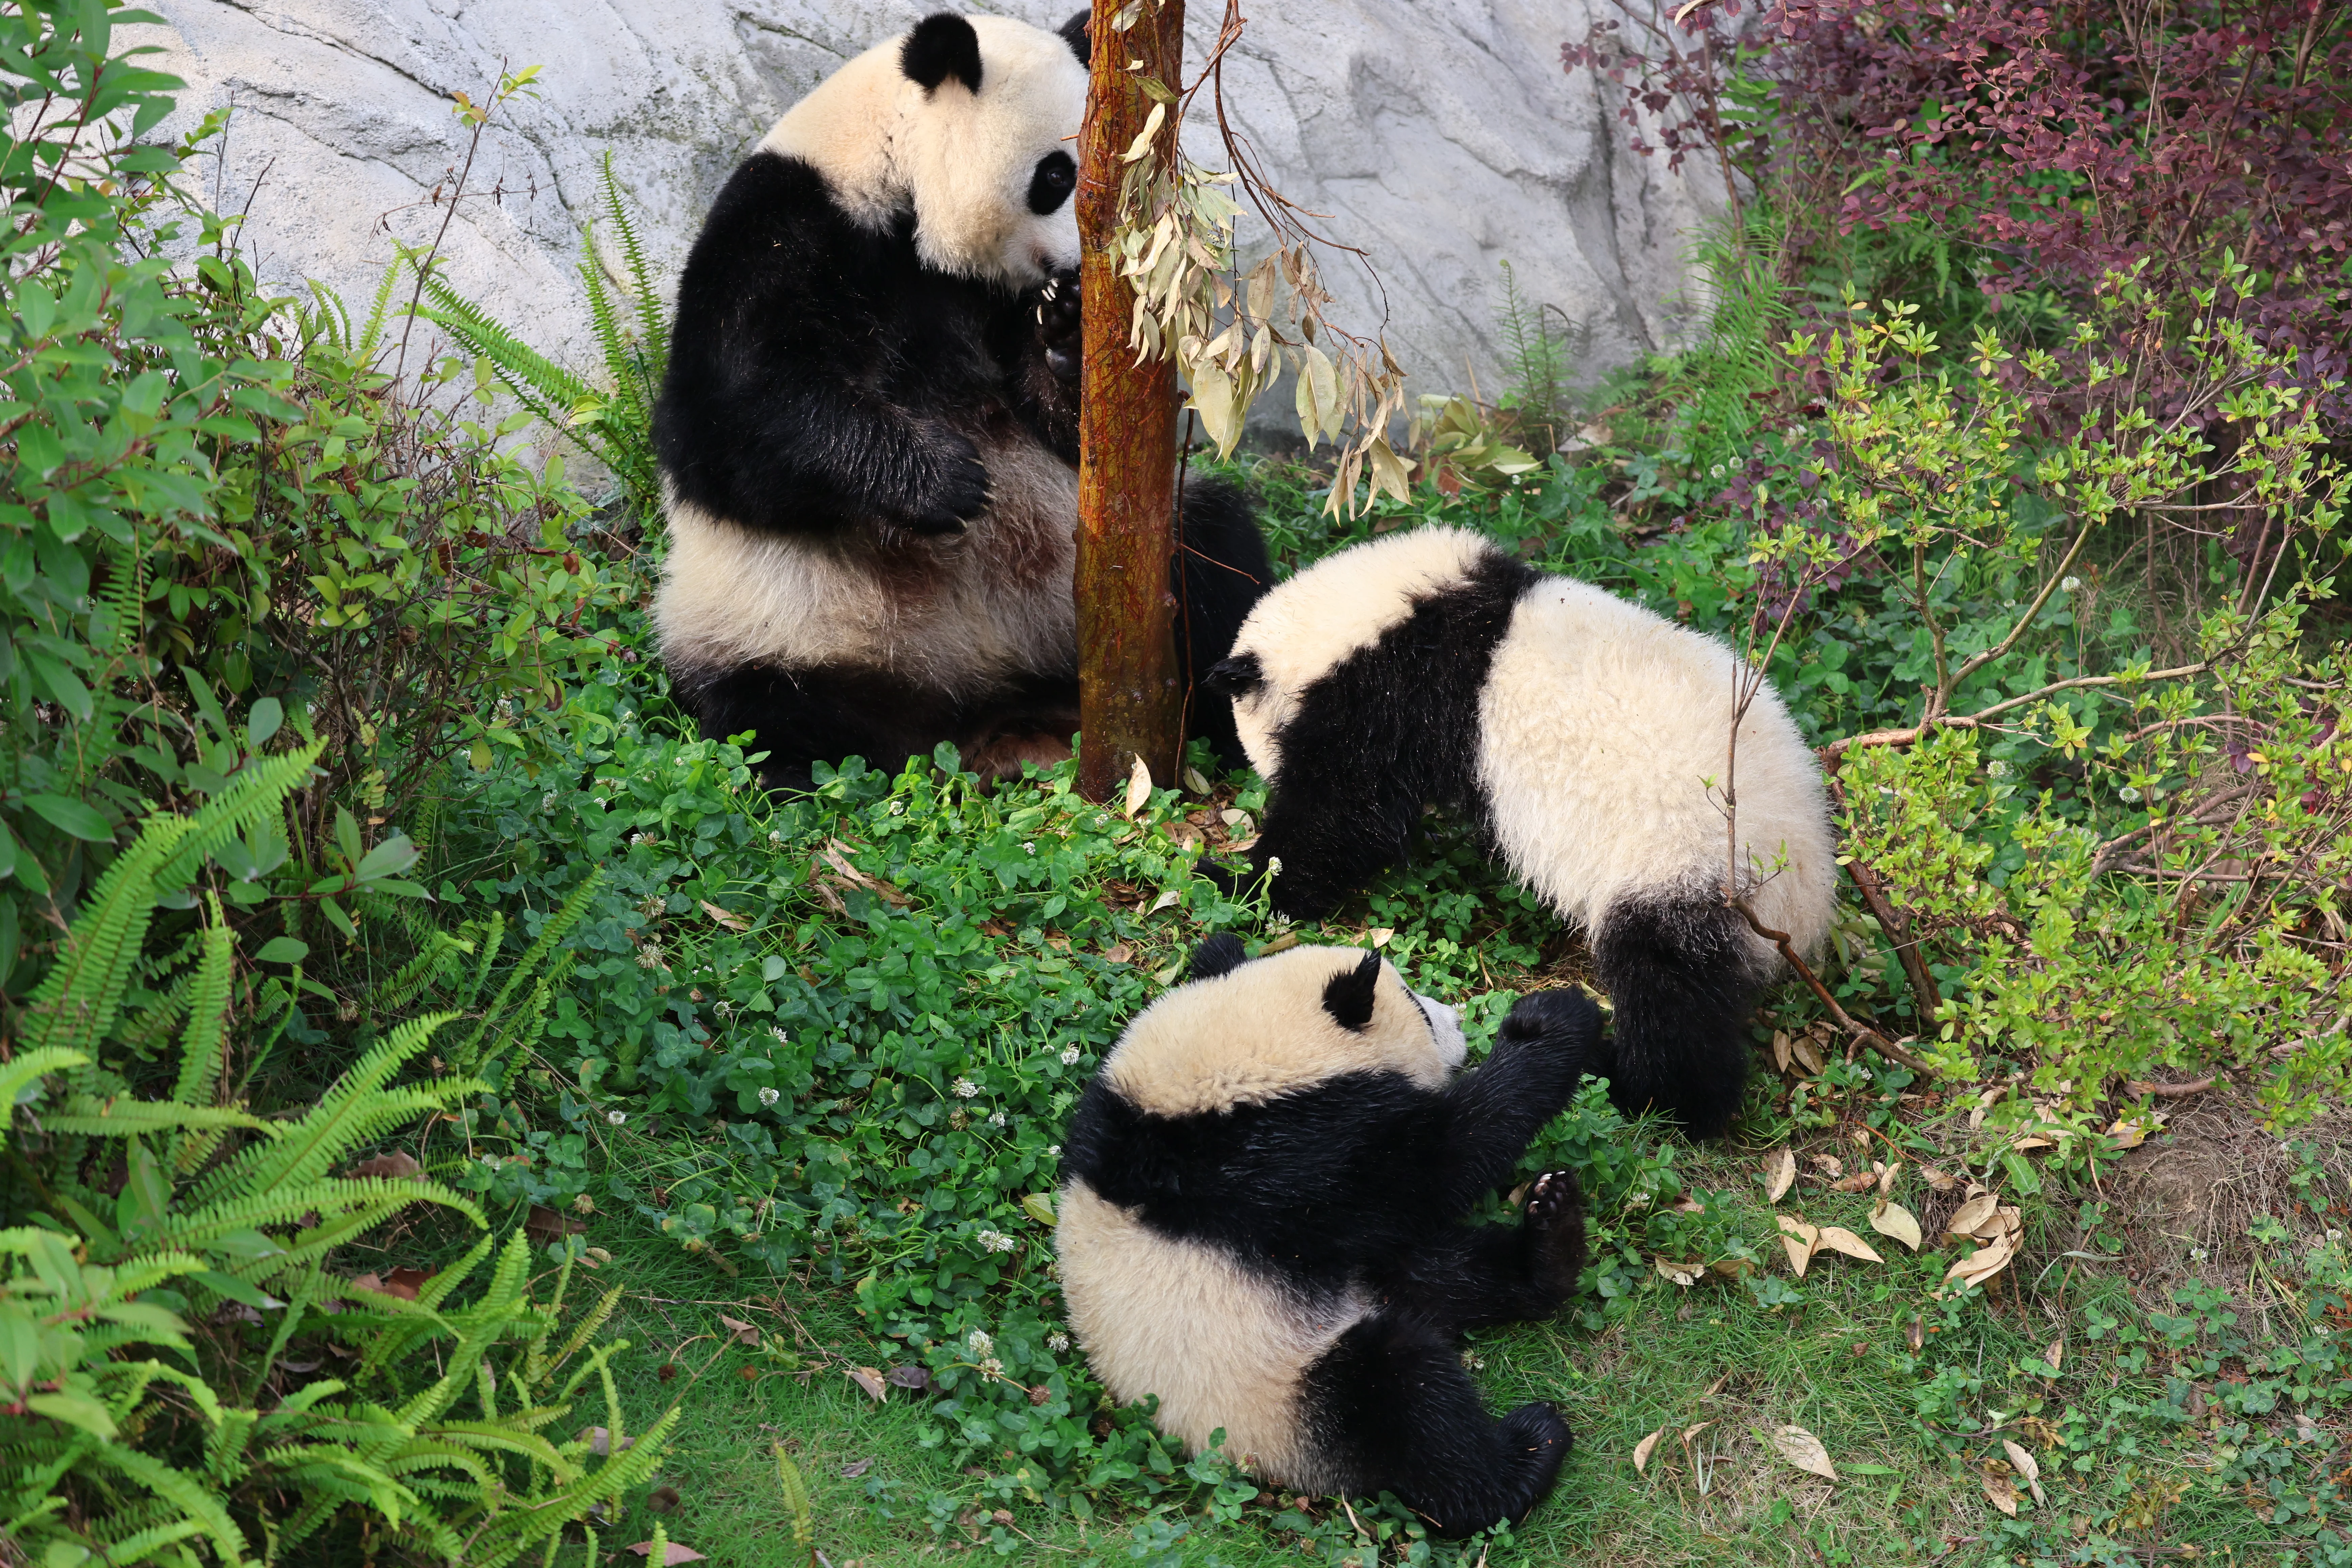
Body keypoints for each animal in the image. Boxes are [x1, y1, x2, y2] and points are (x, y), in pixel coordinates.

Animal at [652, 11, 1271, 791]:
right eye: (1056, 176)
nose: (1083, 269)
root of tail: (992, 710)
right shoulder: (789, 226)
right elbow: (725, 424)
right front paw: (941, 481)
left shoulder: (991, 302)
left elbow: (1080, 437)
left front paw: (1067, 332)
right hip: (781, 622)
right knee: (770, 709)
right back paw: (802, 765)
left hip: (1115, 578)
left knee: (1217, 561)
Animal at [1057, 934, 1598, 1538]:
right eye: (1415, 1006)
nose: (1456, 1020)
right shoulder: (1283, 1159)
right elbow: (1437, 1161)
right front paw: (1553, 1021)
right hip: (1284, 1395)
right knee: (1409, 1397)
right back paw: (1526, 1454)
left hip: (1353, 1287)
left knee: (1444, 1273)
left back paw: (1551, 1242)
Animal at [1200, 526, 1836, 1139]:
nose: (1253, 769)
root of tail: (1807, 900)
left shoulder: (1399, 696)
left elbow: (1344, 813)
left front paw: (1240, 880)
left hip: (1687, 866)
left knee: (1670, 993)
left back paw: (1647, 1092)